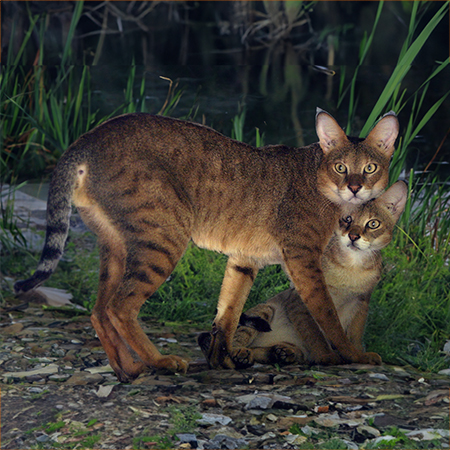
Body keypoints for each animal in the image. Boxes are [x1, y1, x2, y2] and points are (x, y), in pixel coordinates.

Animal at [214, 181, 408, 368]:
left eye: (373, 223)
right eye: (347, 218)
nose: (353, 236)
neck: (352, 268)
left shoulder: (361, 304)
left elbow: (354, 335)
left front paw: (359, 356)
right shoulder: (301, 301)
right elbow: (315, 334)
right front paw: (329, 357)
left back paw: (284, 353)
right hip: (264, 309)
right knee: (237, 337)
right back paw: (242, 354)